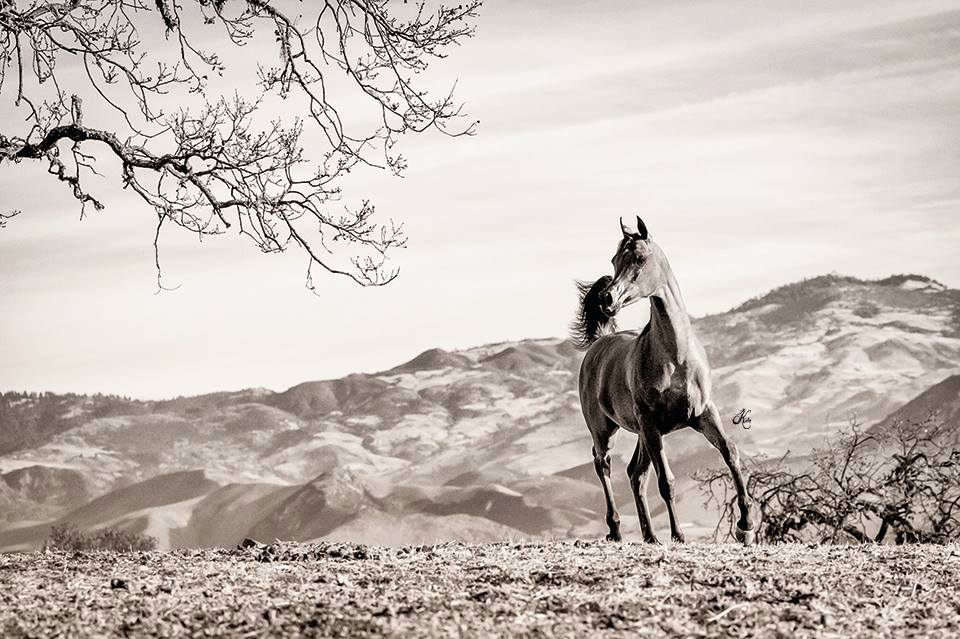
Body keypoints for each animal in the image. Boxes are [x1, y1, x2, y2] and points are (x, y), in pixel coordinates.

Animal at [571, 216, 755, 545]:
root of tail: (599, 343)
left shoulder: (704, 413)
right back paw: (616, 529)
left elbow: (730, 453)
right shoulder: (653, 424)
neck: (676, 356)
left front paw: (745, 525)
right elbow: (667, 482)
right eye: (614, 260)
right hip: (608, 430)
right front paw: (679, 535)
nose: (607, 298)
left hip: (643, 434)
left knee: (635, 474)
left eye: (639, 258)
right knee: (603, 464)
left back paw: (649, 536)